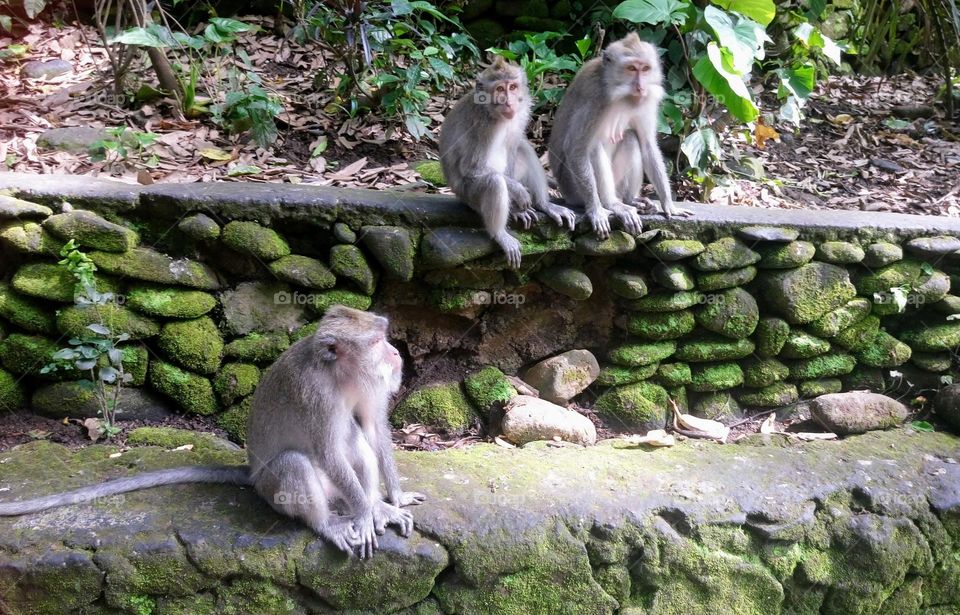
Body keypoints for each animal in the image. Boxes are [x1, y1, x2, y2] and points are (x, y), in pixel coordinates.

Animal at [0, 305, 425, 559]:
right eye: (376, 341)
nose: (395, 354)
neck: (339, 375)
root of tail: (251, 474)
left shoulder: (367, 386)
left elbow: (373, 429)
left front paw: (390, 501)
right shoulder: (316, 395)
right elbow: (327, 452)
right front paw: (366, 513)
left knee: (358, 444)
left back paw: (376, 507)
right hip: (271, 489)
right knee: (297, 463)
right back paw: (330, 523)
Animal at [440, 56, 577, 268]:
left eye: (512, 87)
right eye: (499, 89)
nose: (510, 102)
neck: (492, 113)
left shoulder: (521, 113)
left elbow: (513, 147)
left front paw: (521, 208)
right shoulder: (481, 126)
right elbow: (472, 168)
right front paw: (518, 195)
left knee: (523, 148)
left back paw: (544, 205)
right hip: (468, 196)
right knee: (494, 181)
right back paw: (500, 233)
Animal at [548, 32, 692, 240]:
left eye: (645, 68)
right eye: (631, 68)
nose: (640, 87)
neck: (621, 94)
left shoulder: (646, 101)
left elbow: (647, 145)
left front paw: (669, 204)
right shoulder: (596, 99)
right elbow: (576, 148)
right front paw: (596, 210)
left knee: (631, 137)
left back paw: (631, 200)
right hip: (571, 188)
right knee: (593, 147)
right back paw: (611, 204)